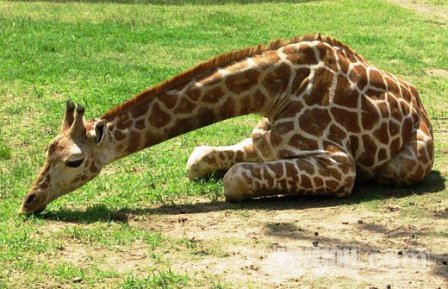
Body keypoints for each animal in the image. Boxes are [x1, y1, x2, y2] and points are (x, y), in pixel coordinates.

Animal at [19, 34, 432, 214]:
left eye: (74, 161)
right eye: (46, 151)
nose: (28, 201)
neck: (278, 88)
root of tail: (417, 98)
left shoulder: (340, 165)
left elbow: (235, 179)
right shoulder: (264, 137)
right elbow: (199, 158)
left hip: (406, 165)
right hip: (256, 135)